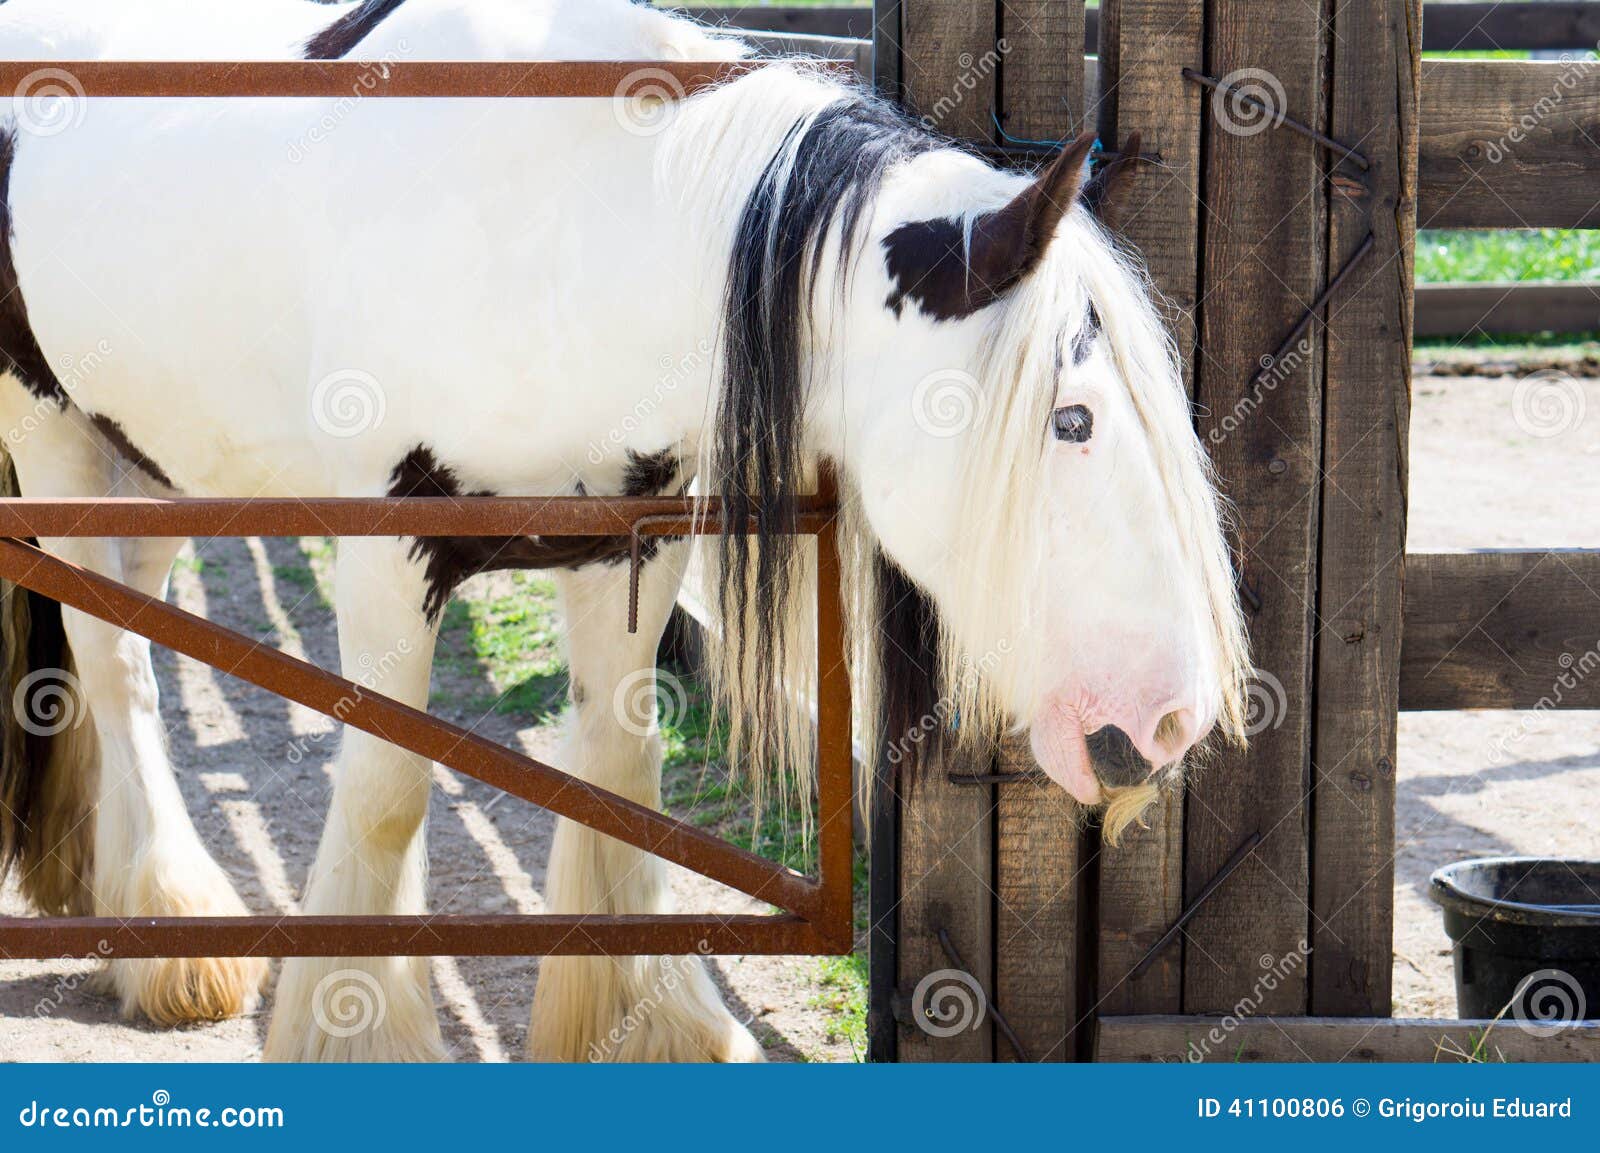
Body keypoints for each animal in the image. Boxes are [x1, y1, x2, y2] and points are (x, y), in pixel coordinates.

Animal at [0, 0, 1248, 1061]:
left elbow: (618, 761)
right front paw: (357, 1031)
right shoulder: (387, 552)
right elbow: (389, 792)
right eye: (1071, 419)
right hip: (52, 435)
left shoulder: (627, 546)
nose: (1171, 720)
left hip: (155, 463)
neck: (577, 228)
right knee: (111, 658)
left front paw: (640, 1021)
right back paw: (171, 928)